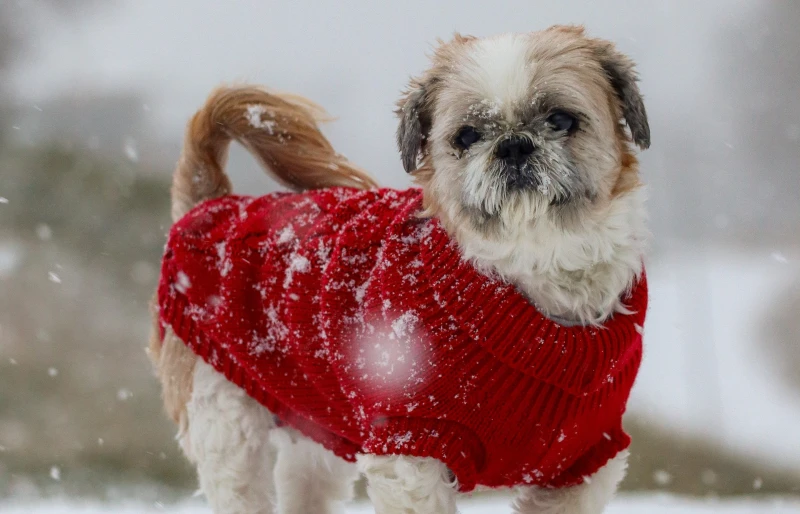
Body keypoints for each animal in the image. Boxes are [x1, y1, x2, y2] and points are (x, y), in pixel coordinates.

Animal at [148, 25, 648, 512]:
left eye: (561, 120)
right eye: (466, 136)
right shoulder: (410, 441)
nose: (512, 146)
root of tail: (212, 204)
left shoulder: (582, 460)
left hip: (317, 430)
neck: (529, 272)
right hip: (223, 419)